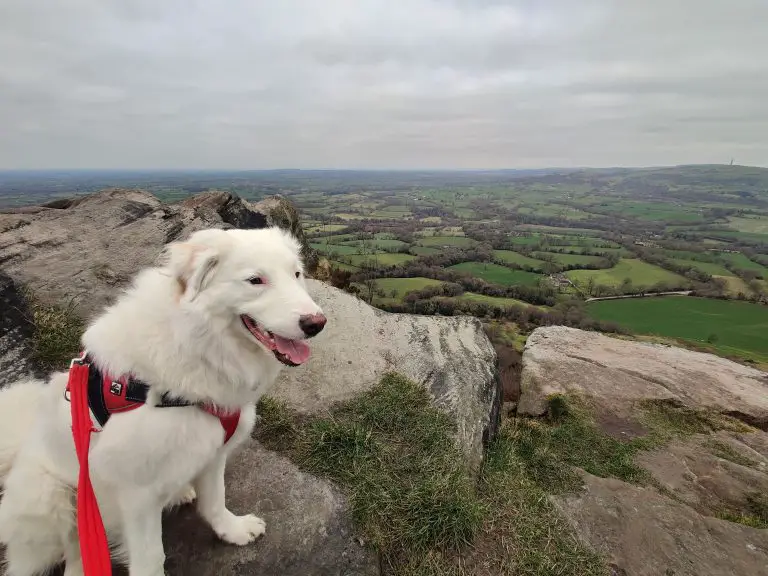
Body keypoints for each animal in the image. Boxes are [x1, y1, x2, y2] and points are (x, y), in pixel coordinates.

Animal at [0, 226, 328, 576]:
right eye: (255, 280)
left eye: (296, 274)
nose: (316, 324)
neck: (200, 345)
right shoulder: (137, 496)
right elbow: (150, 557)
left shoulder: (213, 451)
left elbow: (215, 501)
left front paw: (232, 530)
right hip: (50, 498)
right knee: (67, 555)